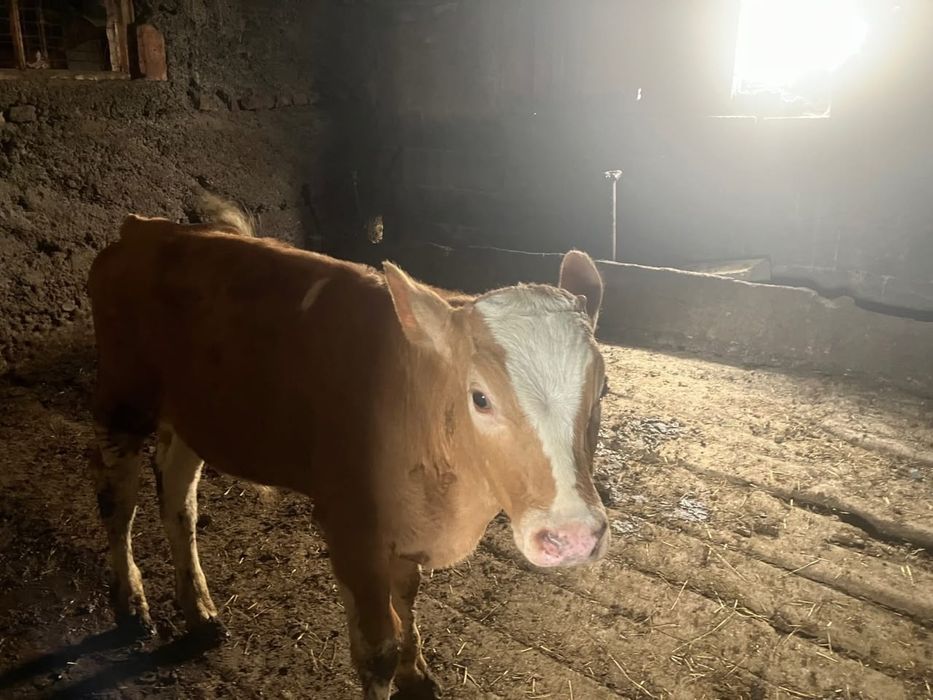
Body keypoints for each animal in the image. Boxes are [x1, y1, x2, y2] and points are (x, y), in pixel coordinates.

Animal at [86, 199, 609, 699]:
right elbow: (377, 650)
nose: (573, 537)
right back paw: (131, 604)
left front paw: (417, 675)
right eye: (480, 397)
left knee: (178, 498)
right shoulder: (350, 525)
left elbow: (407, 599)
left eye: (601, 390)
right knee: (118, 499)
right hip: (122, 397)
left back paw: (199, 610)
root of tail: (146, 226)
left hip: (192, 415)